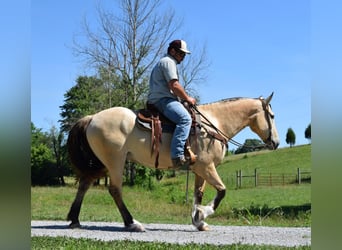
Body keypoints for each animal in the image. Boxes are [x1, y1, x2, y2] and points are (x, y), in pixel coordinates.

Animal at [65, 93, 280, 231]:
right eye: (271, 115)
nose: (276, 142)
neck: (212, 124)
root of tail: (92, 118)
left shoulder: (199, 169)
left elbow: (198, 193)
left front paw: (198, 221)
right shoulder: (206, 166)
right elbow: (221, 191)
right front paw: (204, 213)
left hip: (102, 164)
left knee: (84, 185)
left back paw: (75, 220)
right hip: (115, 162)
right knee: (115, 190)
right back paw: (132, 223)